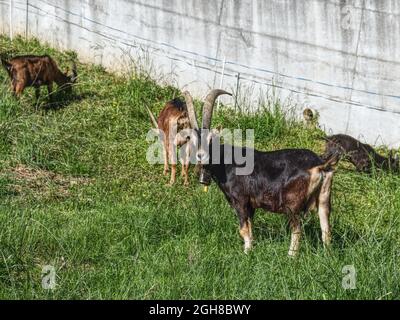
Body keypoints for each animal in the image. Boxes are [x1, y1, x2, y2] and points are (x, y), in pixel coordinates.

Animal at [183, 89, 340, 256]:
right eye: (193, 142)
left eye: (211, 140)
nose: (201, 156)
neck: (226, 162)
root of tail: (320, 164)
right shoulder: (251, 205)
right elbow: (250, 227)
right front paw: (251, 248)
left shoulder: (240, 200)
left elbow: (243, 229)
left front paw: (246, 253)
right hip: (324, 198)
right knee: (326, 229)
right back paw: (327, 255)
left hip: (292, 203)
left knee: (297, 229)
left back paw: (291, 256)